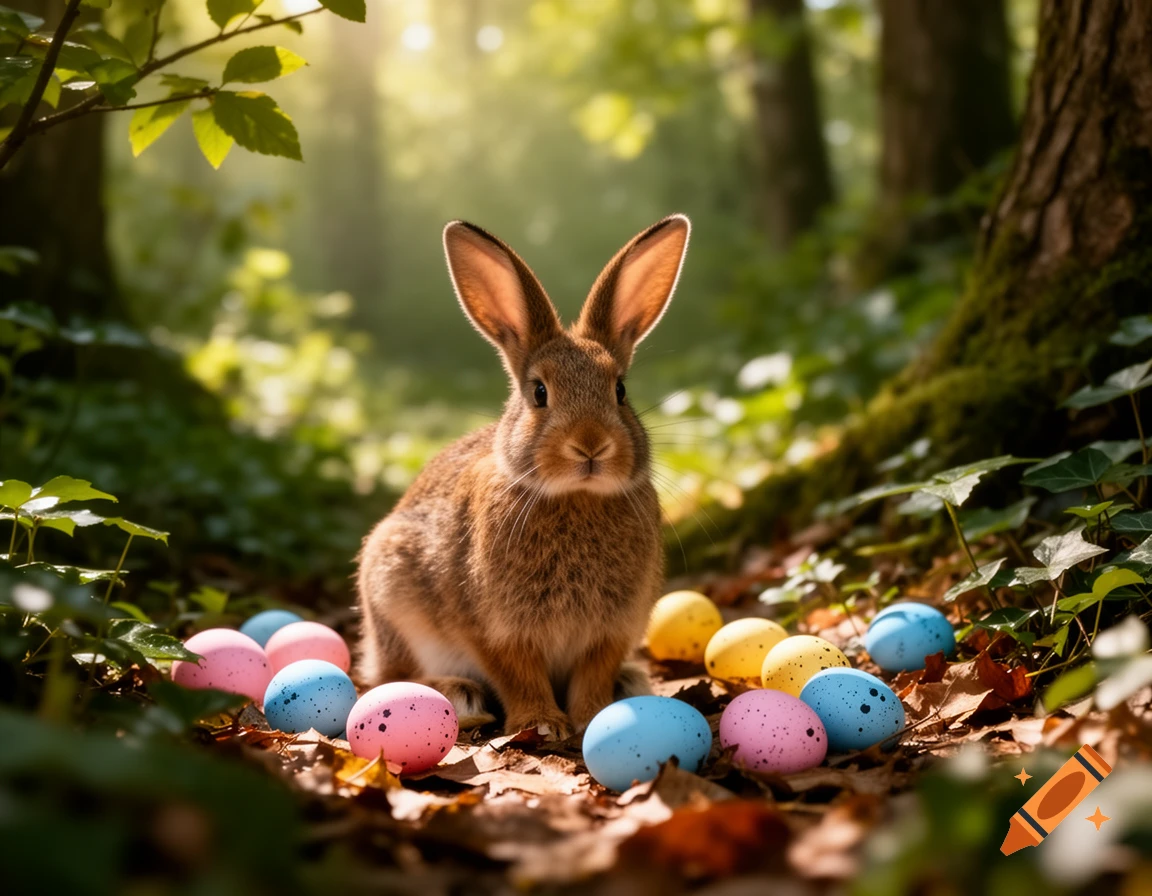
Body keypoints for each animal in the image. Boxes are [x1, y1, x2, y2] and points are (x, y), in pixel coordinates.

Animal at [355, 213, 691, 741]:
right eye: (539, 392)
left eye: (620, 390)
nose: (591, 444)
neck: (575, 496)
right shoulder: (494, 629)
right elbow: (517, 673)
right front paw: (543, 724)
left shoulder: (610, 630)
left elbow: (594, 672)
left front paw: (594, 714)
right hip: (390, 589)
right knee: (390, 676)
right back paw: (459, 694)